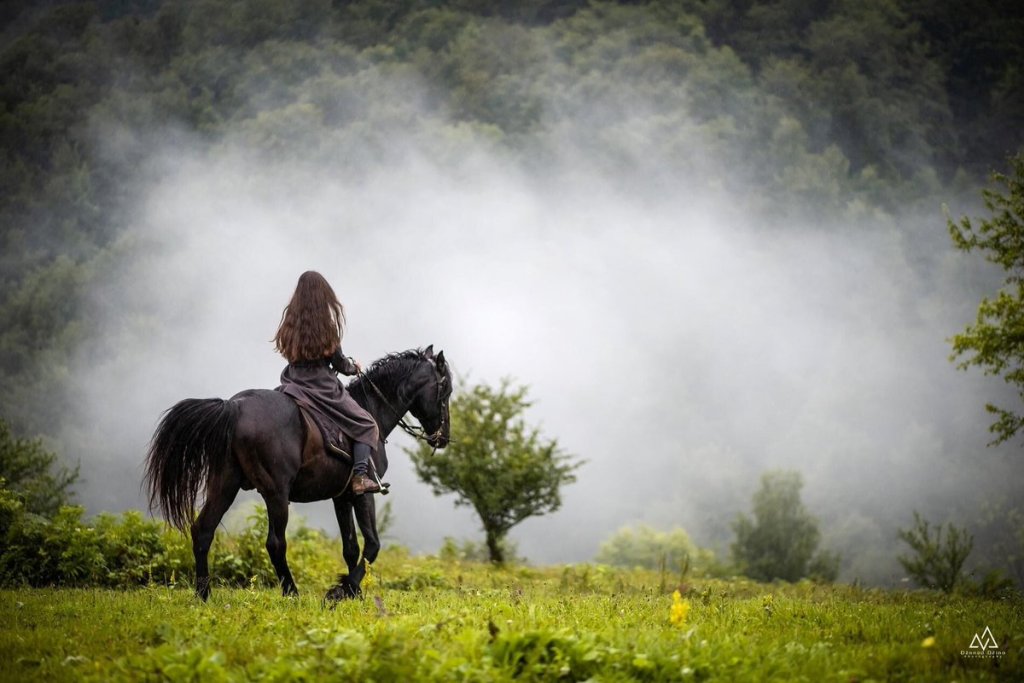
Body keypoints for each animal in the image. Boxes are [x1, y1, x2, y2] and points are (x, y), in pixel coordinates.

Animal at [144, 345, 451, 602]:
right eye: (445, 390)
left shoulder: (342, 497)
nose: (443, 438)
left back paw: (203, 595)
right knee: (275, 543)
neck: (371, 410)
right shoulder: (364, 494)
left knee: (203, 530)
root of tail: (235, 406)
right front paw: (341, 591)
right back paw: (291, 593)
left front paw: (353, 593)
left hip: (224, 485)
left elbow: (350, 547)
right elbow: (372, 545)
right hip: (276, 493)